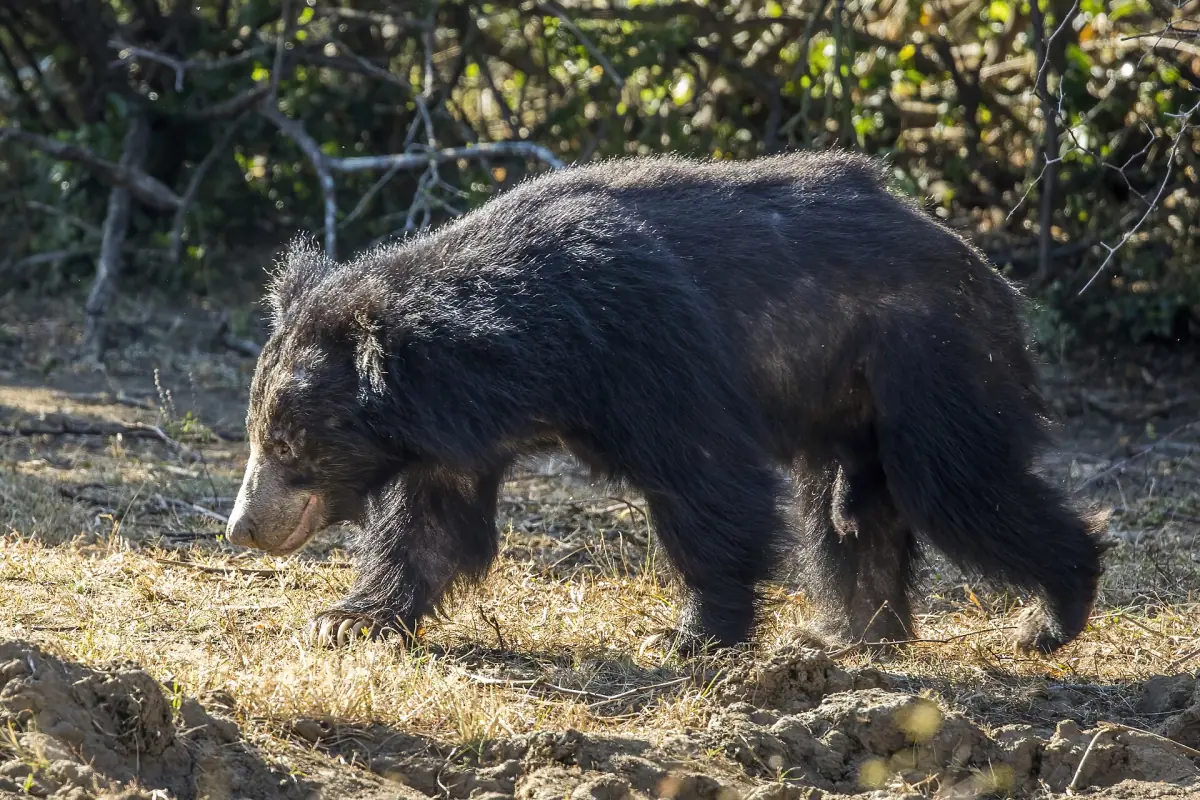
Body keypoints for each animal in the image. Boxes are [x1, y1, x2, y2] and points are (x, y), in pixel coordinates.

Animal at [225, 149, 1106, 655]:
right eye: (257, 436)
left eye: (290, 445)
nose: (242, 529)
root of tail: (982, 265)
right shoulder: (459, 435)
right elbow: (432, 526)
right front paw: (347, 619)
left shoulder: (647, 343)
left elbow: (708, 483)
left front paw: (691, 635)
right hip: (847, 397)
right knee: (850, 511)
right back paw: (849, 632)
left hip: (929, 359)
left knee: (958, 486)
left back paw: (1050, 615)